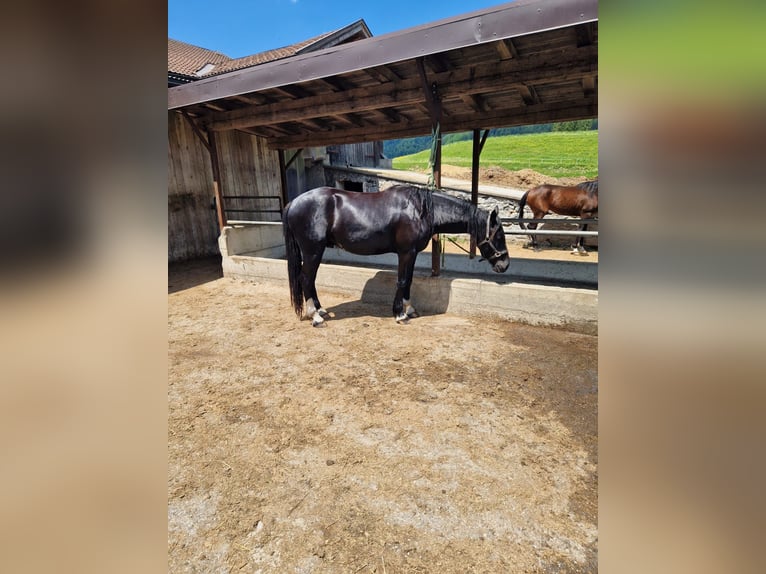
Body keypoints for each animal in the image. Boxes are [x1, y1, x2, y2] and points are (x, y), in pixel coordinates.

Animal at [282, 187, 510, 326]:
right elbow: (402, 280)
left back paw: (321, 311)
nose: (505, 265)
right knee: (306, 278)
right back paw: (315, 316)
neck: (420, 210)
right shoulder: (405, 252)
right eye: (499, 235)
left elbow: (408, 280)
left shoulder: (412, 253)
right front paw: (400, 314)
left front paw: (410, 309)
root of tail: (293, 203)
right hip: (313, 251)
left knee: (309, 280)